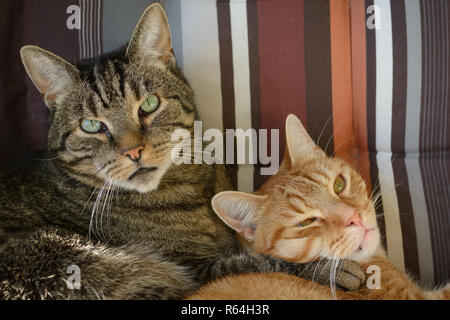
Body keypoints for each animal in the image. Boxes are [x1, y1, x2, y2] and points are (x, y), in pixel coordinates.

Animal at [0, 4, 364, 300]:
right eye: (91, 126)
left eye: (149, 104)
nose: (133, 151)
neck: (194, 186)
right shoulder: (196, 271)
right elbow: (258, 261)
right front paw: (327, 265)